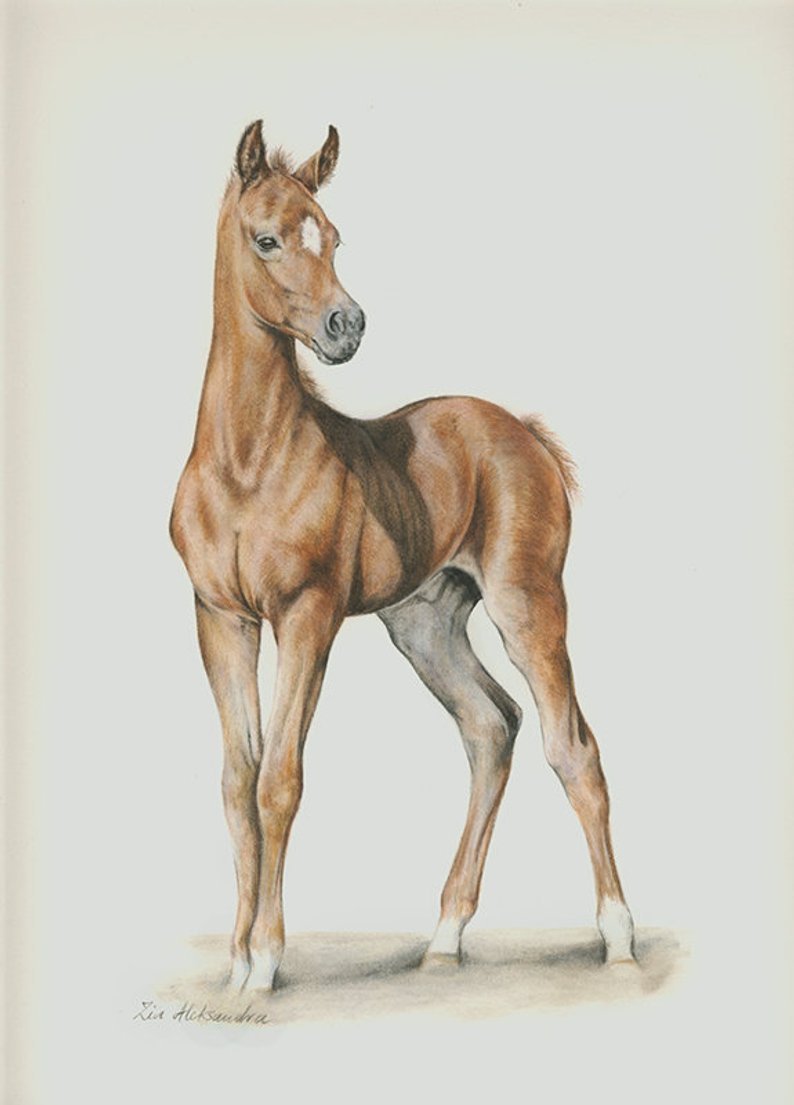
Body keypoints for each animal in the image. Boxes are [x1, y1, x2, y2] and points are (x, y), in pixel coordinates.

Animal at [170, 120, 636, 992]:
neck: (248, 460)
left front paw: (267, 959)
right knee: (491, 726)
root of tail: (525, 432)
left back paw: (619, 938)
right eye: (268, 237)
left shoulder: (308, 615)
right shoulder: (220, 618)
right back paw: (445, 935)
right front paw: (237, 964)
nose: (345, 326)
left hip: (529, 606)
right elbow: (237, 780)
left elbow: (281, 779)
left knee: (573, 747)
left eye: (334, 235)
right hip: (425, 626)